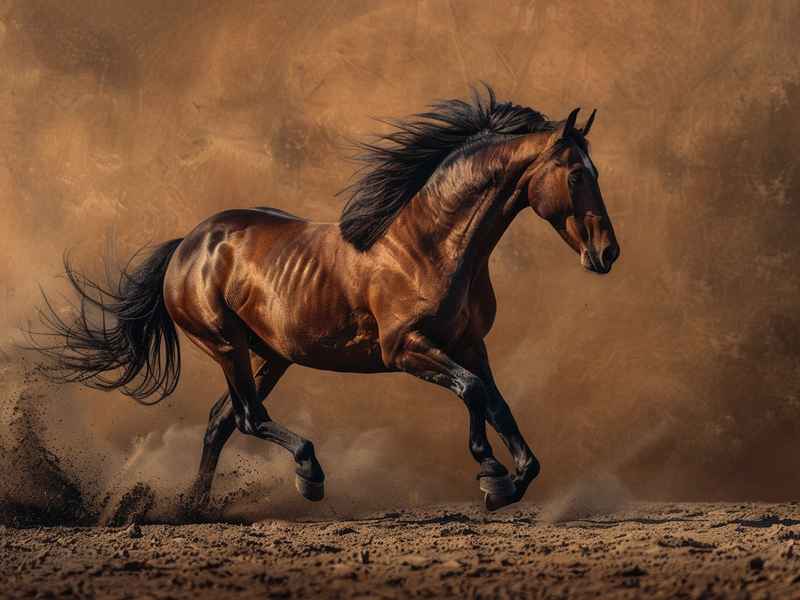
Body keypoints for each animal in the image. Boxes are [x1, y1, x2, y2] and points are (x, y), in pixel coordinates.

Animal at [33, 86, 619, 514]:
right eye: (575, 174)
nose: (607, 252)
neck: (431, 245)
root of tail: (189, 244)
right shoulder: (403, 349)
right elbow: (474, 392)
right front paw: (493, 473)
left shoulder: (469, 344)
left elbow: (492, 402)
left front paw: (505, 478)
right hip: (225, 344)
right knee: (247, 417)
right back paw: (308, 474)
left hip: (270, 354)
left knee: (222, 420)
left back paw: (192, 509)